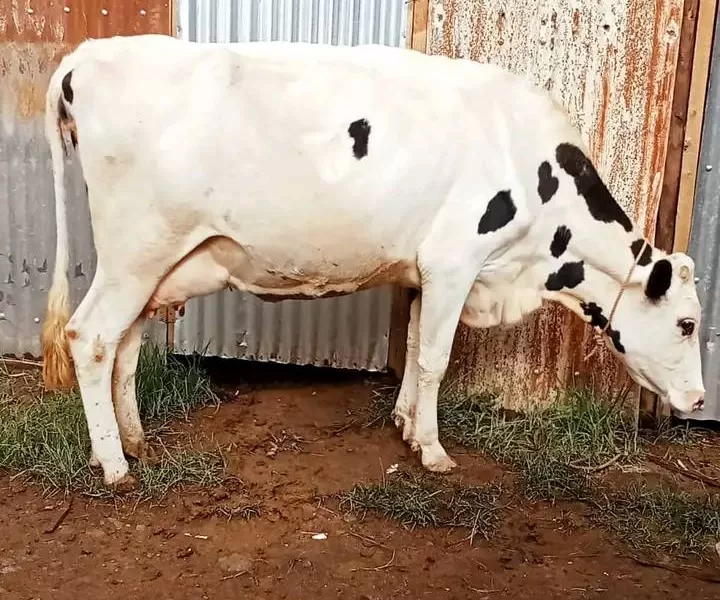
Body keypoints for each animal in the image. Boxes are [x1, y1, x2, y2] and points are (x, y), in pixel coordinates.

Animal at [40, 35, 704, 490]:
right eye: (687, 323)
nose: (699, 401)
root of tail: (88, 56)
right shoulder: (455, 261)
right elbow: (435, 359)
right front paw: (433, 450)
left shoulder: (422, 271)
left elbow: (411, 345)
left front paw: (406, 425)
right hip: (134, 251)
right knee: (90, 337)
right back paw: (115, 465)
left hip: (153, 263)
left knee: (123, 346)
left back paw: (134, 442)